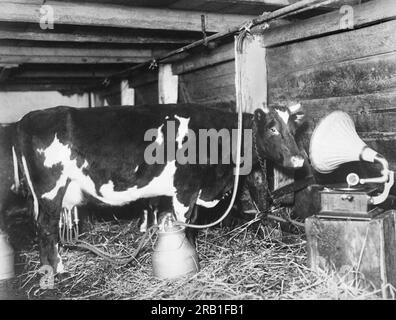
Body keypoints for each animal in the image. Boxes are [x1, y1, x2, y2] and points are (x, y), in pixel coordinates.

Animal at [10, 102, 306, 272]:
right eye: (272, 128)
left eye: (293, 129)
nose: (299, 159)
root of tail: (28, 119)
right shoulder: (185, 190)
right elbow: (187, 225)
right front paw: (190, 259)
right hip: (50, 189)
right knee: (45, 228)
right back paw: (55, 272)